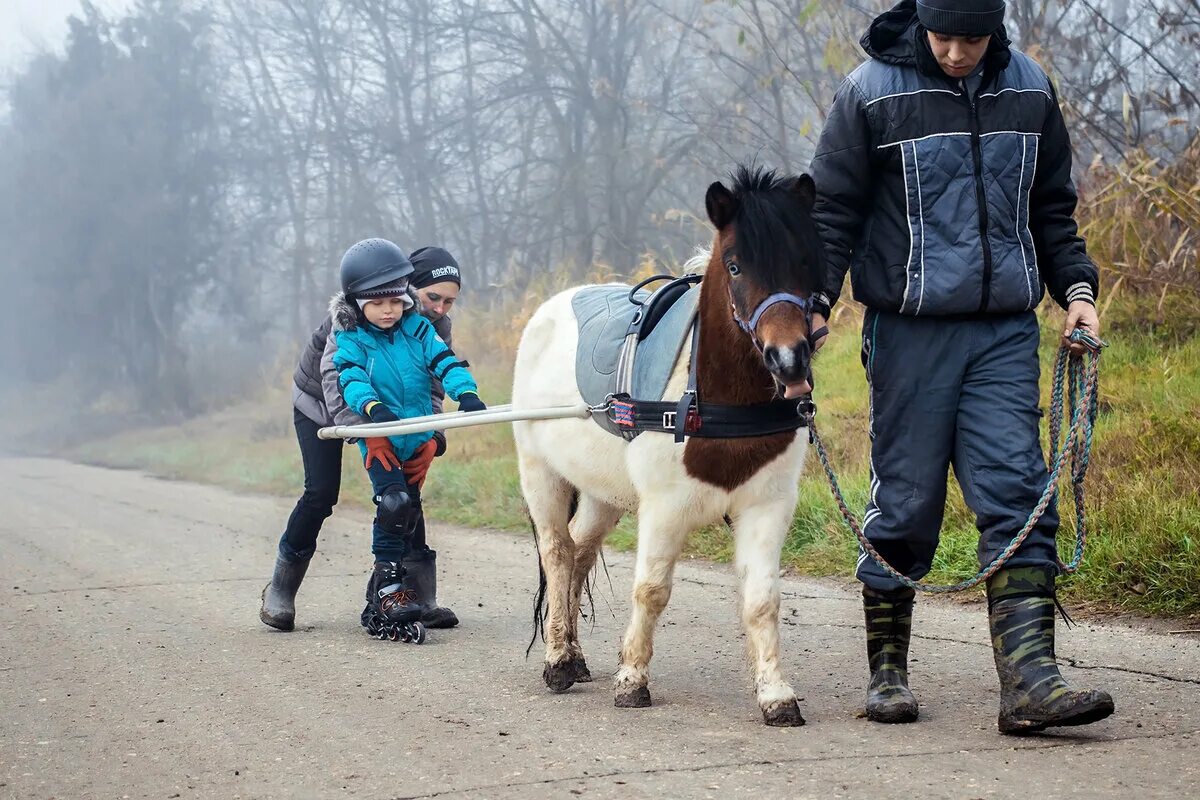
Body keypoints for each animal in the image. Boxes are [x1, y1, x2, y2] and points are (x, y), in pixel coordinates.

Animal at [511, 165, 830, 729]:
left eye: (806, 260)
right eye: (735, 265)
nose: (789, 360)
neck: (713, 399)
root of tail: (546, 311)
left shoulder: (766, 506)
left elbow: (762, 600)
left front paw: (775, 694)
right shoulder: (664, 509)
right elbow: (652, 590)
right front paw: (632, 680)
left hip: (604, 493)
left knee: (580, 551)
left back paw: (574, 655)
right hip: (541, 474)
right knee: (557, 552)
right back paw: (557, 660)